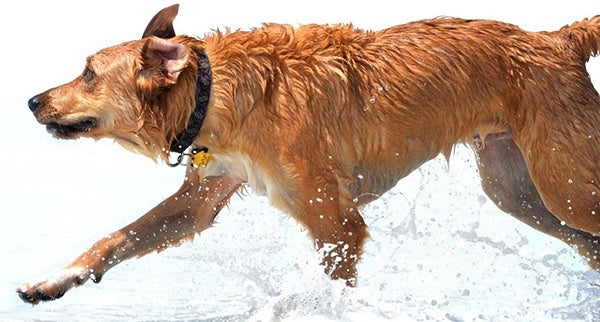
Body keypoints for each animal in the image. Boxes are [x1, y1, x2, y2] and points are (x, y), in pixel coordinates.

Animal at [16, 3, 600, 304]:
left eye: (88, 73)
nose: (31, 101)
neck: (214, 91)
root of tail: (558, 38)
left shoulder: (337, 226)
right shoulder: (202, 198)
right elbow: (115, 239)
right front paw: (53, 279)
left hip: (565, 184)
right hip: (518, 190)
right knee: (584, 242)